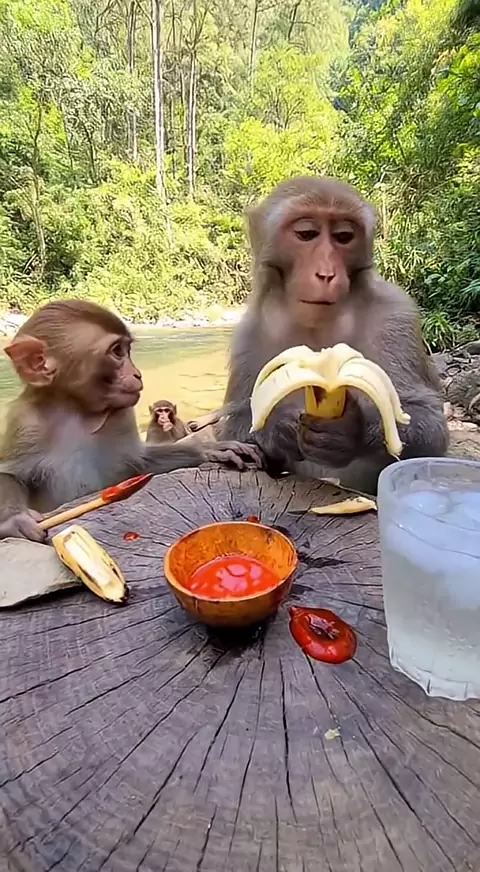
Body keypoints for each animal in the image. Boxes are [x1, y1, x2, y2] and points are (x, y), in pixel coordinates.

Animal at [0, 299, 263, 542]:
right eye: (117, 351)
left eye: (126, 349)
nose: (137, 374)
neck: (79, 410)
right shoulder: (26, 424)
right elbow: (11, 475)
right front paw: (15, 519)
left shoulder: (122, 414)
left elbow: (139, 462)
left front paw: (210, 450)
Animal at [218, 176, 449, 494]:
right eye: (307, 234)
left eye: (343, 236)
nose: (326, 273)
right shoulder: (248, 335)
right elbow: (236, 423)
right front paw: (278, 431)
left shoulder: (395, 315)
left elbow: (428, 418)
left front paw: (348, 433)